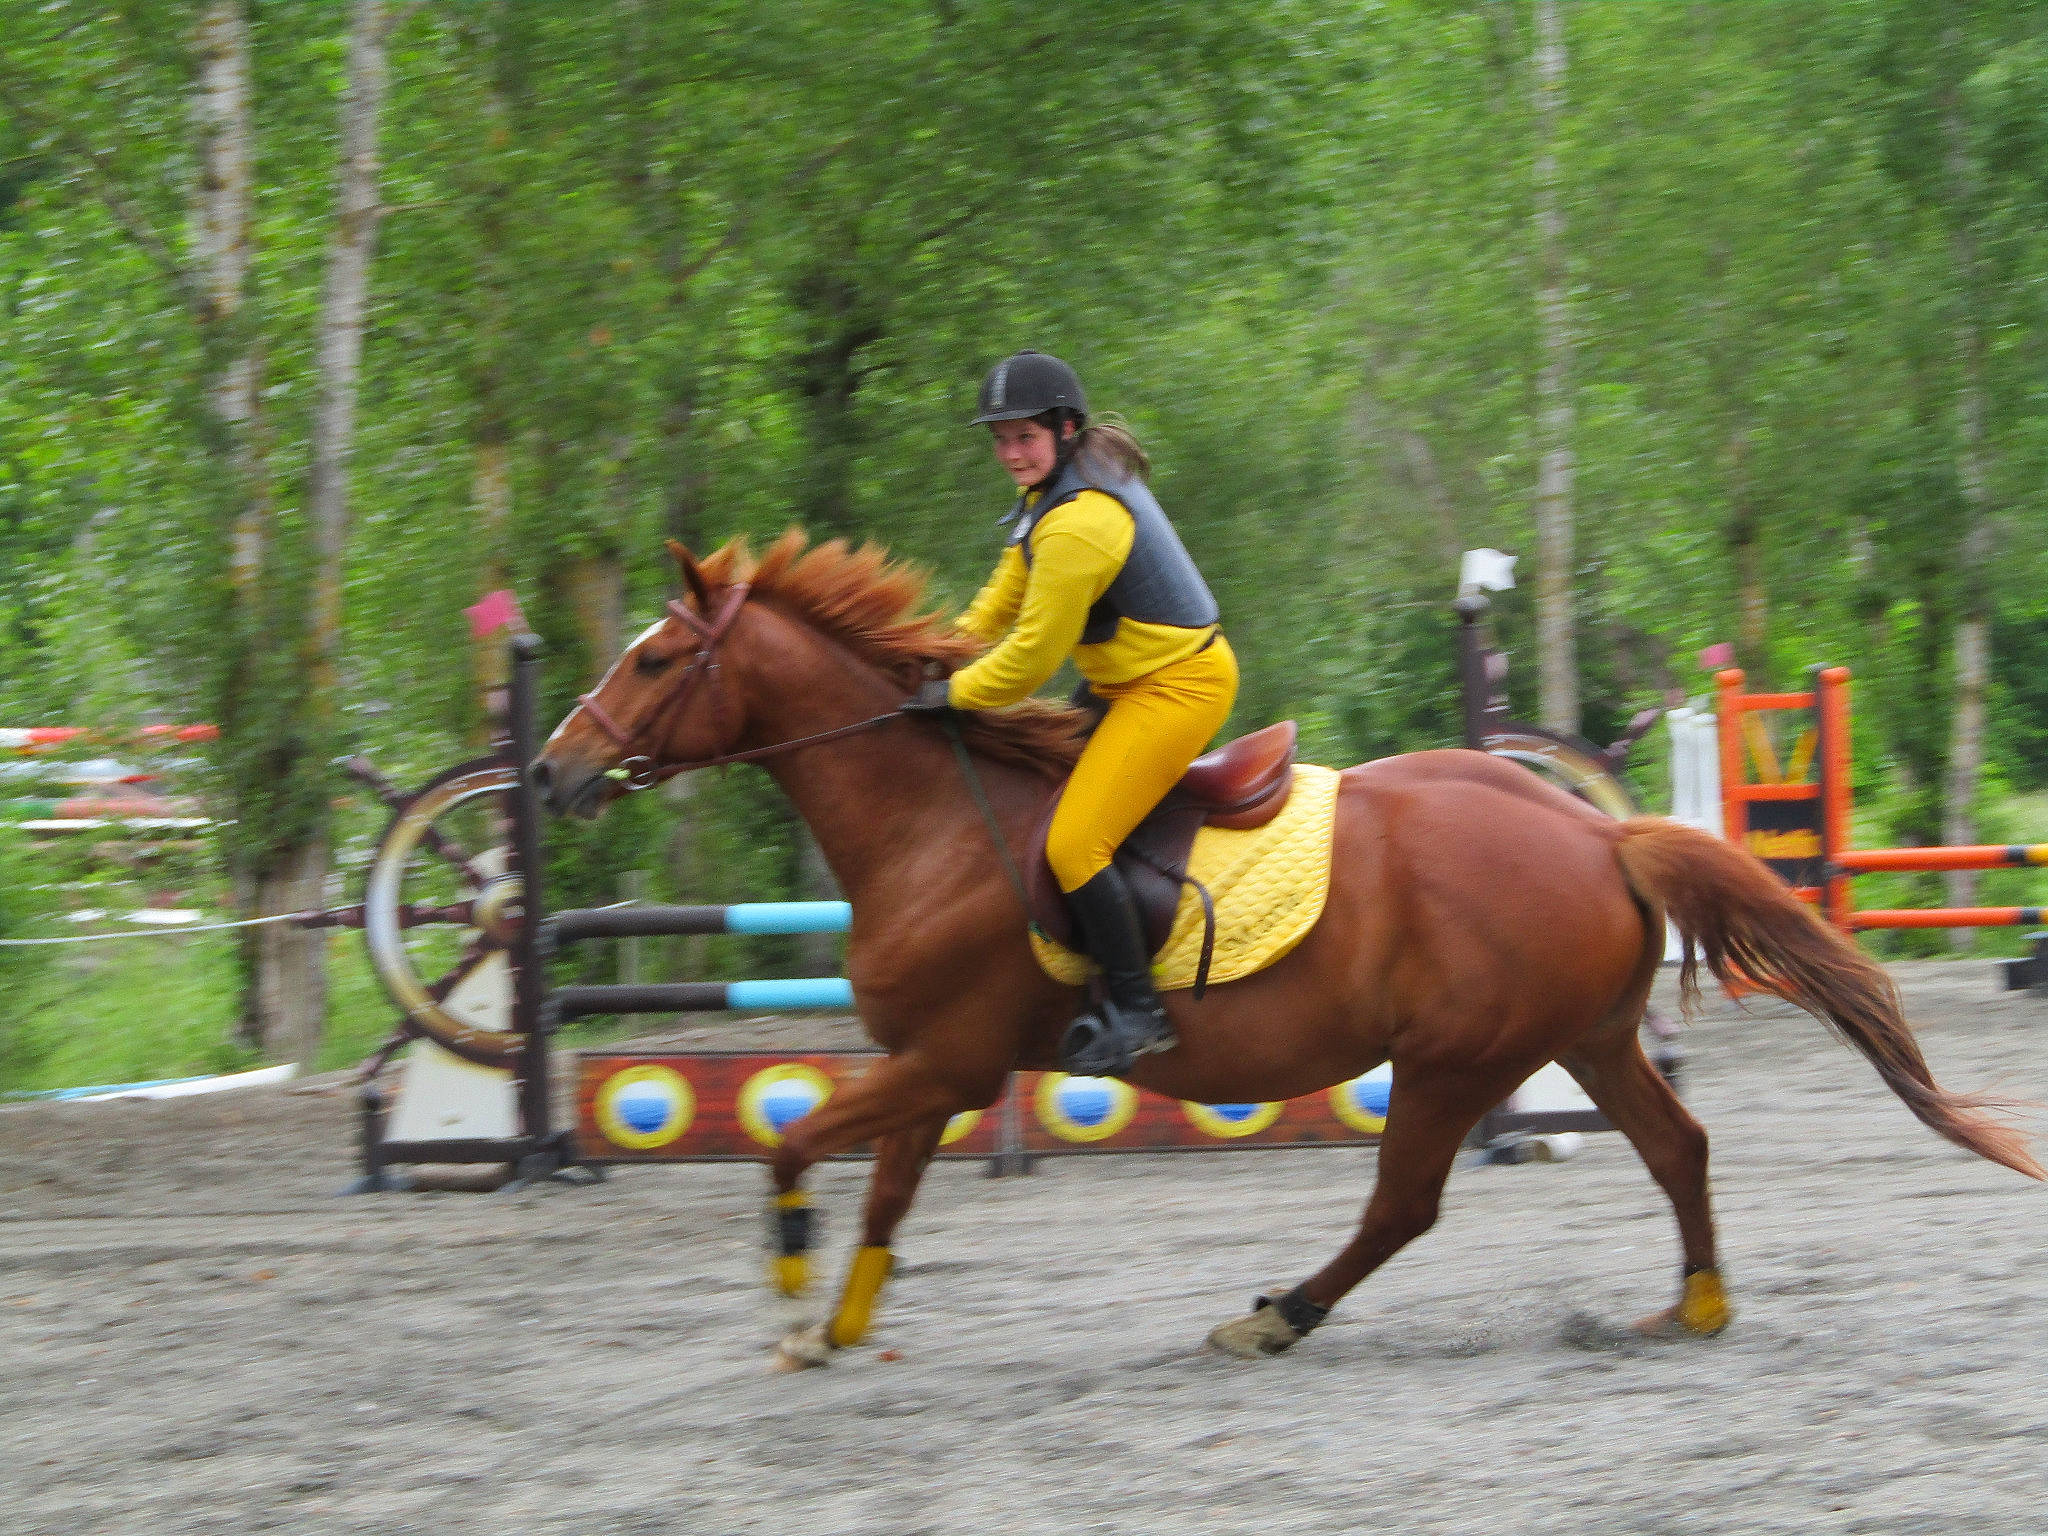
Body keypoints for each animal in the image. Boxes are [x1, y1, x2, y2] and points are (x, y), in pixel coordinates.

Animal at [529, 531, 2043, 1367]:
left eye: (655, 662)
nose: (550, 774)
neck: (931, 819)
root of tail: (1595, 834)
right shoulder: (929, 1070)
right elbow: (888, 1202)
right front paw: (837, 1327)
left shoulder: (944, 1061)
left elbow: (792, 1147)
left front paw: (790, 1299)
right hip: (1583, 1036)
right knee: (1676, 1147)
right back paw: (1696, 1309)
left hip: (1453, 1060)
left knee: (1405, 1205)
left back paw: (1278, 1317)